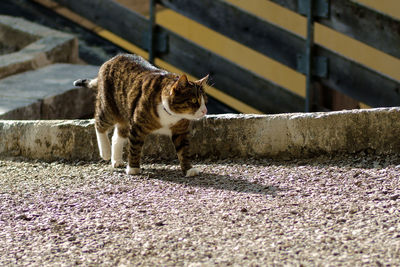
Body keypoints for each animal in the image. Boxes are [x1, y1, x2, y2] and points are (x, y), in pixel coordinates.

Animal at [73, 53, 208, 177]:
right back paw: (105, 152)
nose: (205, 110)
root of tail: (112, 59)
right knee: (99, 123)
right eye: (194, 101)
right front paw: (133, 168)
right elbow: (135, 148)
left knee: (117, 136)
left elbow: (184, 151)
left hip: (125, 114)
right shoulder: (137, 127)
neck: (171, 116)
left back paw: (116, 160)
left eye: (204, 101)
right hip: (109, 108)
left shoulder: (180, 131)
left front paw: (188, 169)